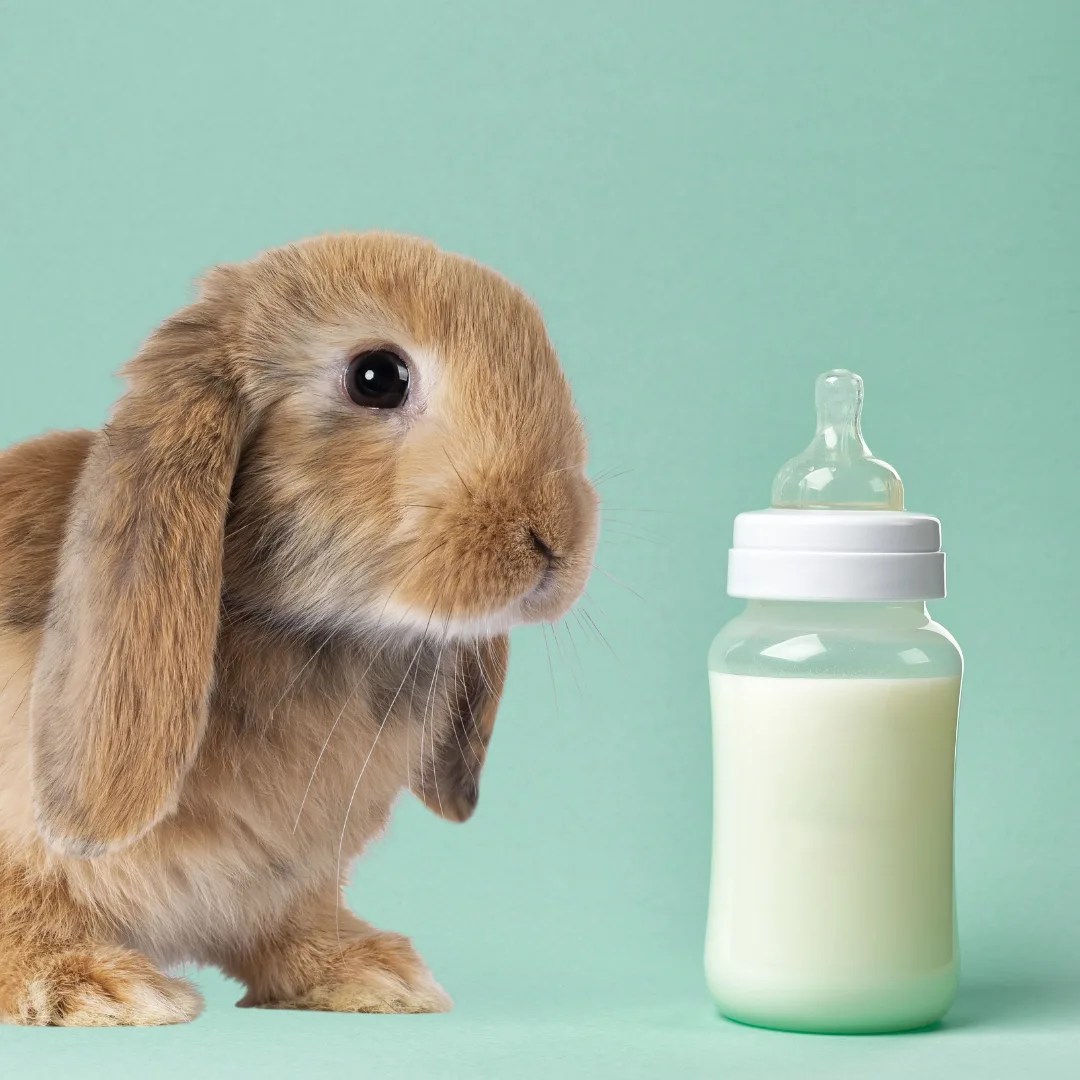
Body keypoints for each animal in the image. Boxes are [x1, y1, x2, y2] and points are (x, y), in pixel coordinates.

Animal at [0, 232, 599, 1026]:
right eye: (377, 378)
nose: (555, 537)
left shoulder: (287, 883)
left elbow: (290, 927)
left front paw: (374, 974)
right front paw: (94, 985)